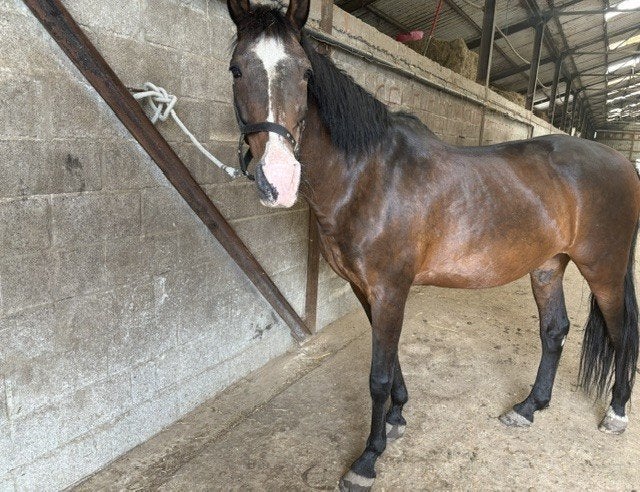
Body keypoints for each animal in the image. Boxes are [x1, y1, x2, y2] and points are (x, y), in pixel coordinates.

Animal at [226, 1, 640, 489]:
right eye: (236, 69)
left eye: (307, 73)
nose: (278, 179)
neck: (368, 176)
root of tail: (623, 163)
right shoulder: (366, 289)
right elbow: (391, 364)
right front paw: (396, 418)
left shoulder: (390, 288)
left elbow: (378, 376)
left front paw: (368, 459)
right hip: (547, 265)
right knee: (554, 331)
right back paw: (527, 408)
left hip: (604, 269)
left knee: (621, 333)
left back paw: (616, 413)